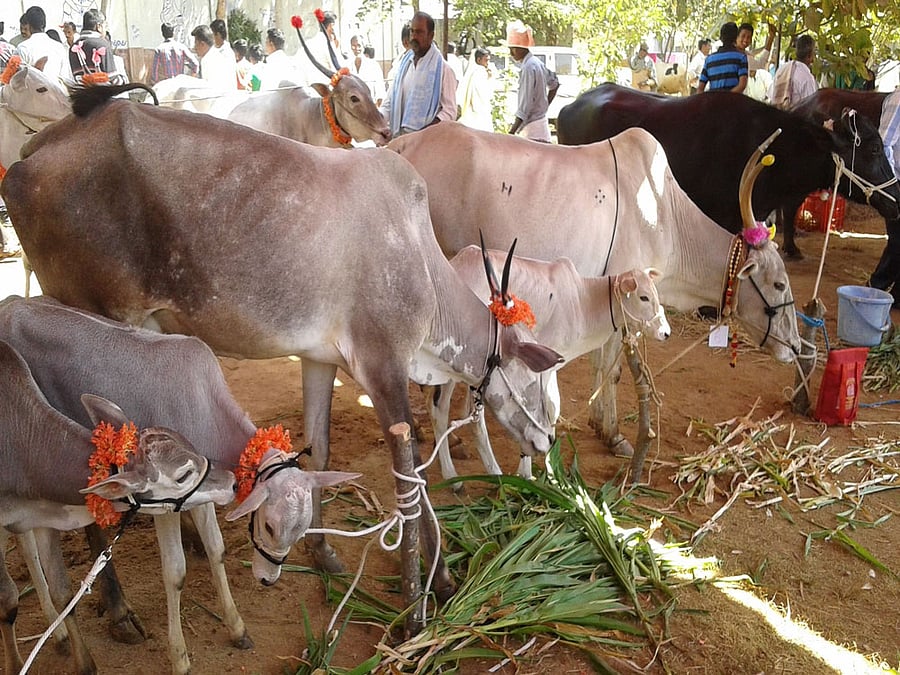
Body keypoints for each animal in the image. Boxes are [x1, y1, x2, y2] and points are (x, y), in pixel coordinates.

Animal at [0, 85, 562, 631]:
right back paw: (118, 608)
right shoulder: (384, 367)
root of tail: (37, 148)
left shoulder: (319, 358)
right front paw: (432, 591)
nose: (548, 441)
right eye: (541, 387)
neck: (422, 262)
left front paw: (322, 552)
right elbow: (411, 483)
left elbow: (320, 449)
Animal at [0, 339, 236, 675]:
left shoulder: (44, 517)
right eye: (183, 475)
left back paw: (57, 634)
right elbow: (7, 600)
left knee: (27, 548)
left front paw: (84, 663)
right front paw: (15, 664)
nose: (231, 480)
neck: (24, 448)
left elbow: (62, 593)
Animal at [434, 250, 670, 484]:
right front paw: (530, 471)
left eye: (656, 294)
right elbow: (548, 408)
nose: (666, 332)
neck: (584, 302)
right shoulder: (544, 366)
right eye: (643, 297)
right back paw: (463, 475)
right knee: (447, 410)